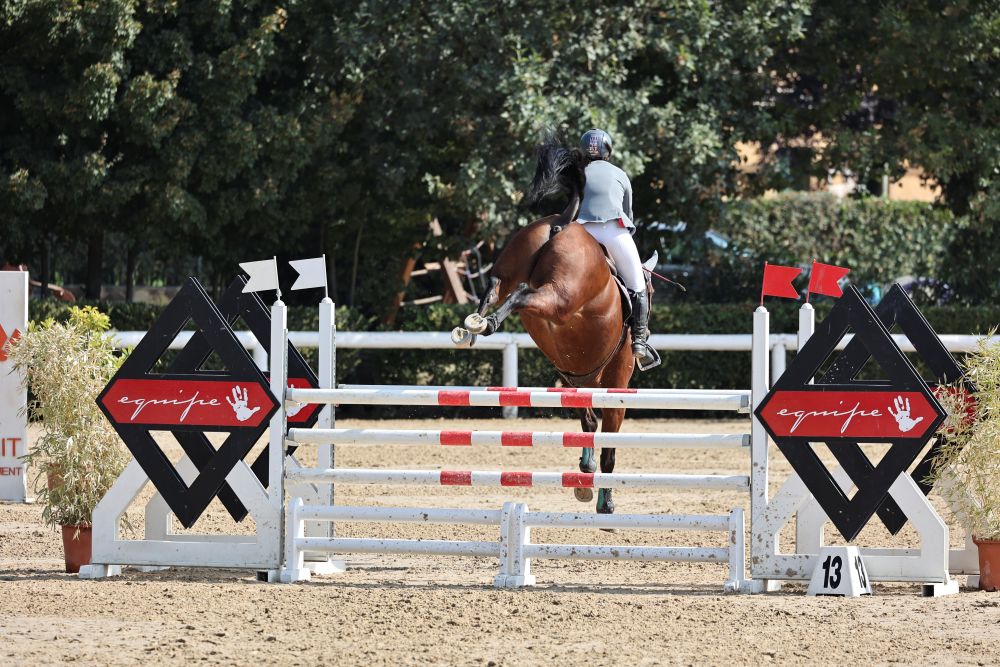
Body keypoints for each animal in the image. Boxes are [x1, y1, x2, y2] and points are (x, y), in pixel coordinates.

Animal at [450, 136, 642, 515]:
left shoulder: (575, 379)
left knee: (495, 285)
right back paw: (487, 323)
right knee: (524, 292)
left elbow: (588, 423)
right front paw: (604, 500)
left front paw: (585, 475)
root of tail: (563, 222)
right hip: (561, 297)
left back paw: (474, 324)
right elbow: (609, 444)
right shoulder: (616, 380)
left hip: (519, 259)